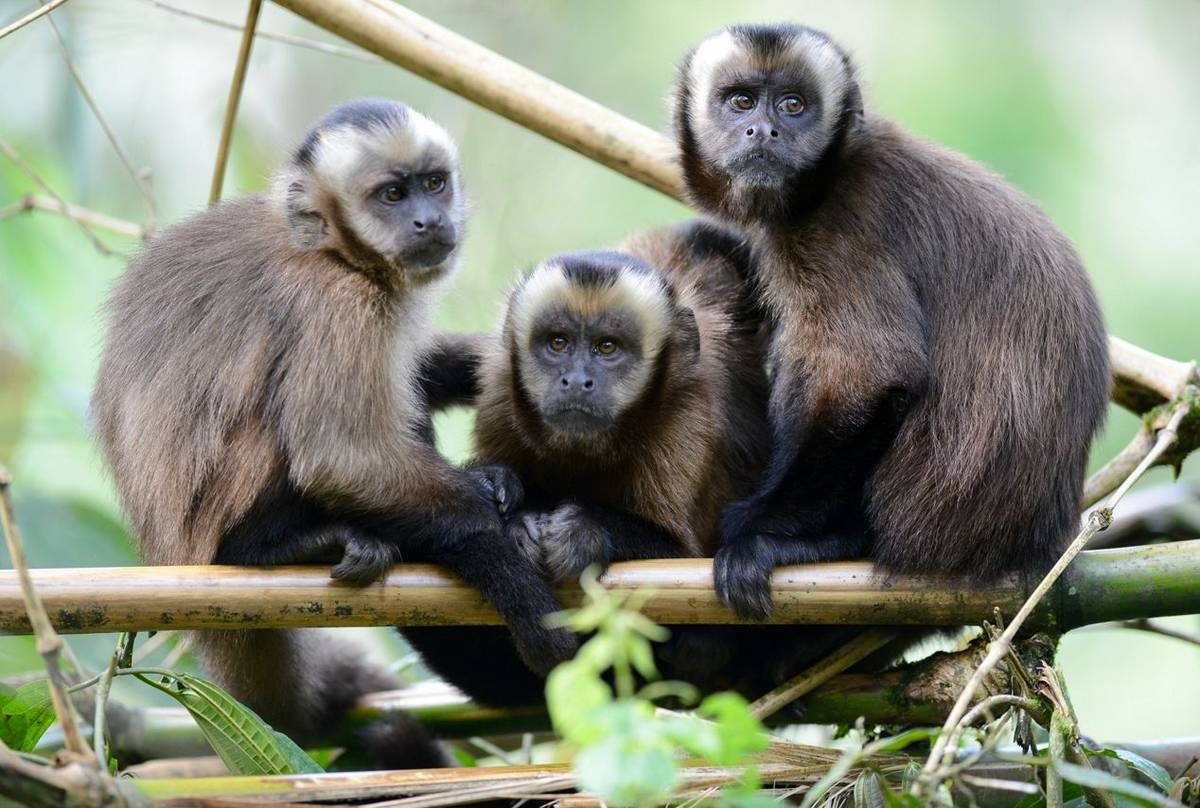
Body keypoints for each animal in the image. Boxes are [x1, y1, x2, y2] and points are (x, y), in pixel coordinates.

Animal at [90, 98, 576, 766]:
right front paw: (500, 556)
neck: (332, 249)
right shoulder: (337, 300)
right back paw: (272, 547)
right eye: (392, 194)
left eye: (433, 184)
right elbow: (340, 459)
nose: (428, 219)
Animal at [671, 25, 1111, 620]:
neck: (831, 175)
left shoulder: (837, 227)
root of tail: (1042, 536)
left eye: (793, 105)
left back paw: (834, 541)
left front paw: (761, 528)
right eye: (740, 101)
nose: (762, 129)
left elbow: (874, 378)